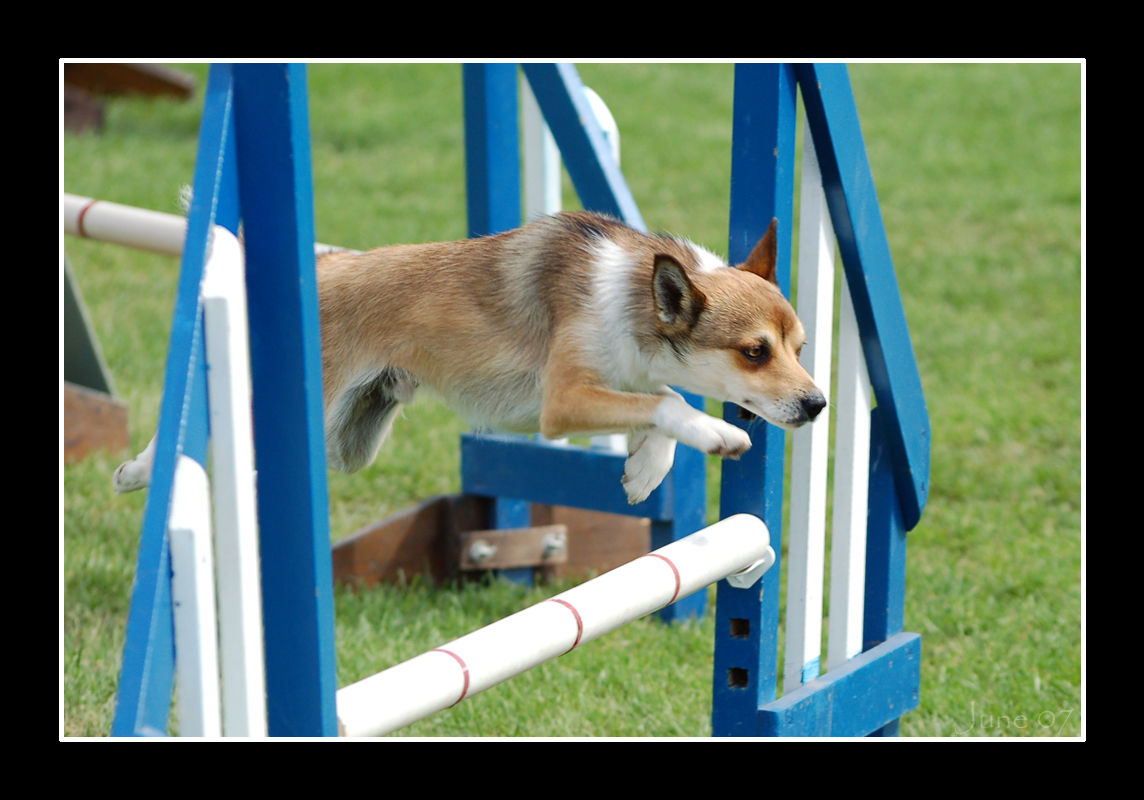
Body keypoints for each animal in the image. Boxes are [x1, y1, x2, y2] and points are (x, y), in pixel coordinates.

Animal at [116, 212, 828, 501]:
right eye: (754, 352)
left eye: (799, 348)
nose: (818, 404)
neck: (631, 303)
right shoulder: (563, 401)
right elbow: (669, 398)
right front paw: (715, 435)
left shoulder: (611, 386)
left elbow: (658, 402)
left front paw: (646, 471)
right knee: (196, 427)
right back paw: (140, 470)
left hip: (351, 438)